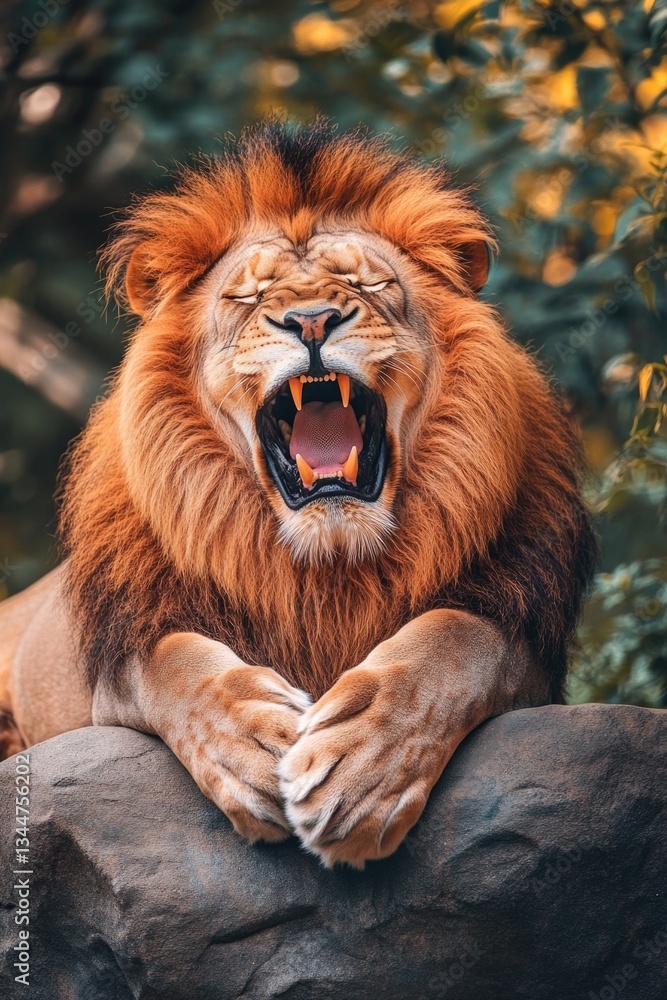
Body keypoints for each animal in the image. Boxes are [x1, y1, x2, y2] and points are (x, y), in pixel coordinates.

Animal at [0, 120, 596, 868]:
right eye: (247, 300)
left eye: (368, 283)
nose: (312, 321)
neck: (327, 558)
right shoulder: (123, 658)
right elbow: (180, 665)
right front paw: (252, 743)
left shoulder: (525, 639)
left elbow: (449, 643)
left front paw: (362, 770)